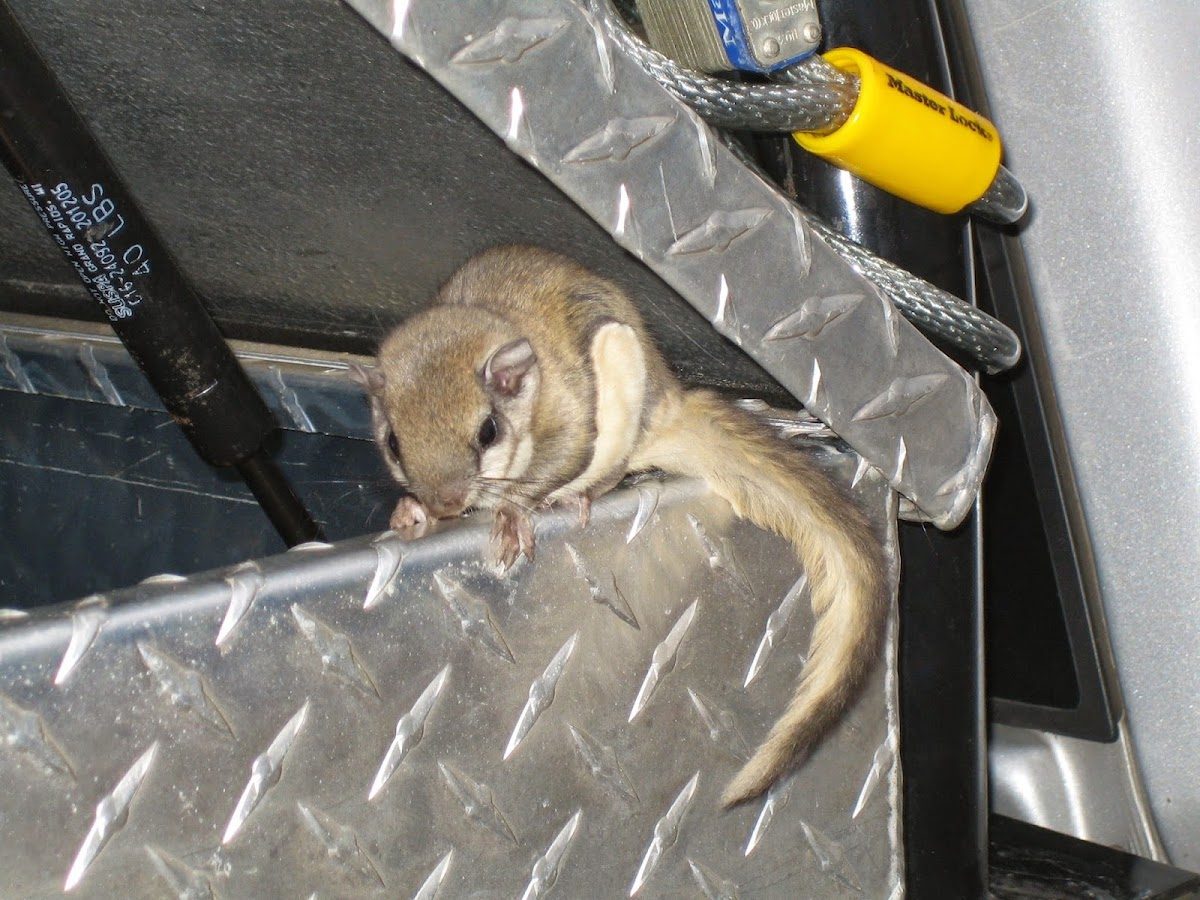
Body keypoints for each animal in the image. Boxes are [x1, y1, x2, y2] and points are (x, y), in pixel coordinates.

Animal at [353, 245, 888, 804]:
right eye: (393, 443)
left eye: (488, 431)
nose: (446, 503)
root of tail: (670, 402)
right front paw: (412, 511)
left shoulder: (568, 420)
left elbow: (549, 471)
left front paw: (514, 513)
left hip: (620, 364)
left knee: (611, 468)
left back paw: (579, 495)